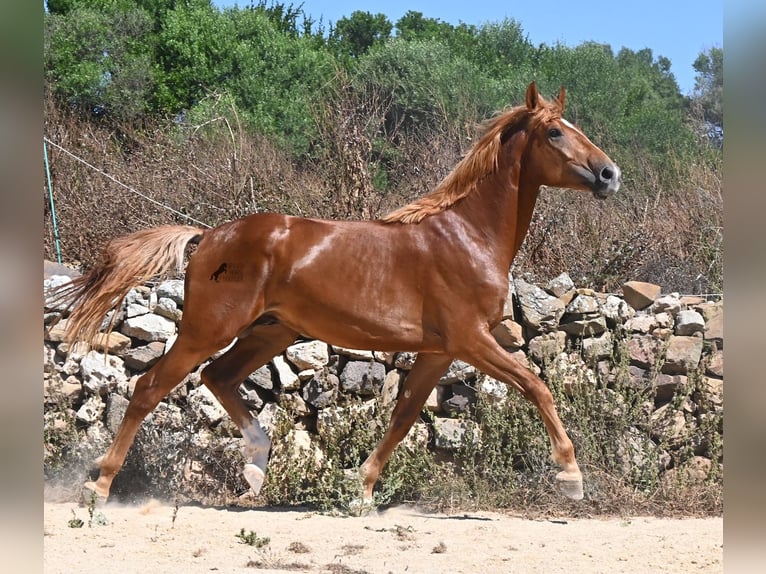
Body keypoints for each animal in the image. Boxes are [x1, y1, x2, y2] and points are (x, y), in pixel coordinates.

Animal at [52, 82, 621, 504]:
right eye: (555, 132)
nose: (610, 174)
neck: (465, 236)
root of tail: (209, 235)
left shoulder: (439, 351)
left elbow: (404, 416)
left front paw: (361, 489)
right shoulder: (470, 338)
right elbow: (536, 386)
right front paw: (571, 477)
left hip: (271, 331)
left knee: (219, 378)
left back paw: (257, 469)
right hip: (207, 328)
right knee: (150, 388)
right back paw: (100, 486)